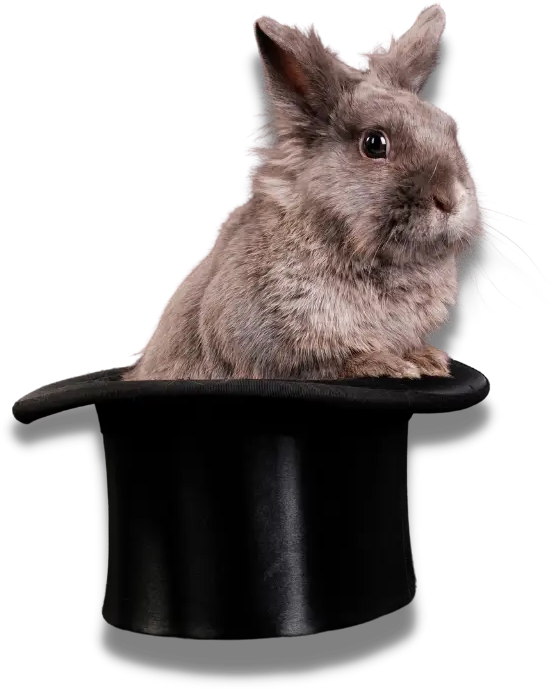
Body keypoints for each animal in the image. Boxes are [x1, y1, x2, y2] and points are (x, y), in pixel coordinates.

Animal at [123, 6, 490, 382]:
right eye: (374, 143)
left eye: (450, 130)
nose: (452, 199)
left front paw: (428, 359)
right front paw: (388, 365)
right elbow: (325, 361)